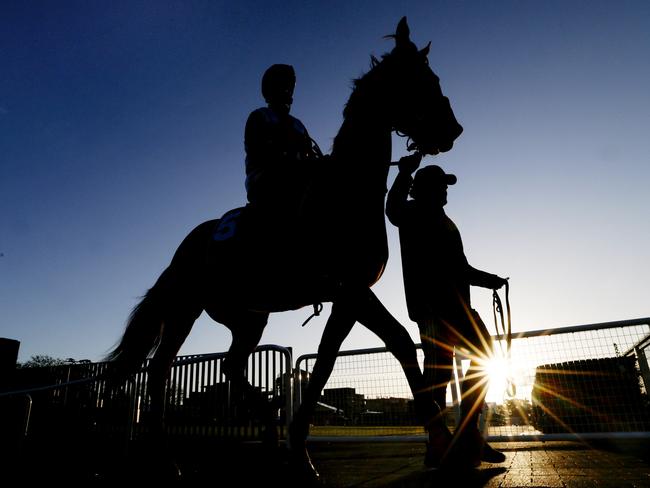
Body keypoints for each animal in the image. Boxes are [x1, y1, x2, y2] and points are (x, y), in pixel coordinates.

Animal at [105, 17, 460, 478]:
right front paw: (439, 440)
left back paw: (269, 425)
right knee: (161, 370)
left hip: (248, 316)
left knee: (231, 365)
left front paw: (299, 446)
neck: (345, 191)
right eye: (420, 80)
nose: (453, 129)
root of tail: (187, 246)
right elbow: (382, 344)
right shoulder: (350, 289)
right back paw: (167, 456)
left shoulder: (350, 295)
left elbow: (338, 357)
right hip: (185, 309)